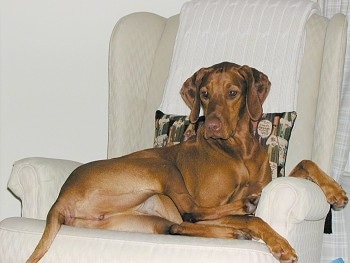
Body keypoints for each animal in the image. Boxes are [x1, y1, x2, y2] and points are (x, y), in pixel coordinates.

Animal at [26, 62, 348, 263]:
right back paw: (246, 211)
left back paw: (235, 229)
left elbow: (305, 161)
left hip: (144, 219)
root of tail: (60, 198)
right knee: (191, 213)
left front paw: (336, 192)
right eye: (205, 94)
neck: (237, 151)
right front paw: (279, 243)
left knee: (177, 226)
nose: (212, 126)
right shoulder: (209, 198)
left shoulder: (270, 180)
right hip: (158, 165)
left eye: (232, 93)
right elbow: (245, 216)